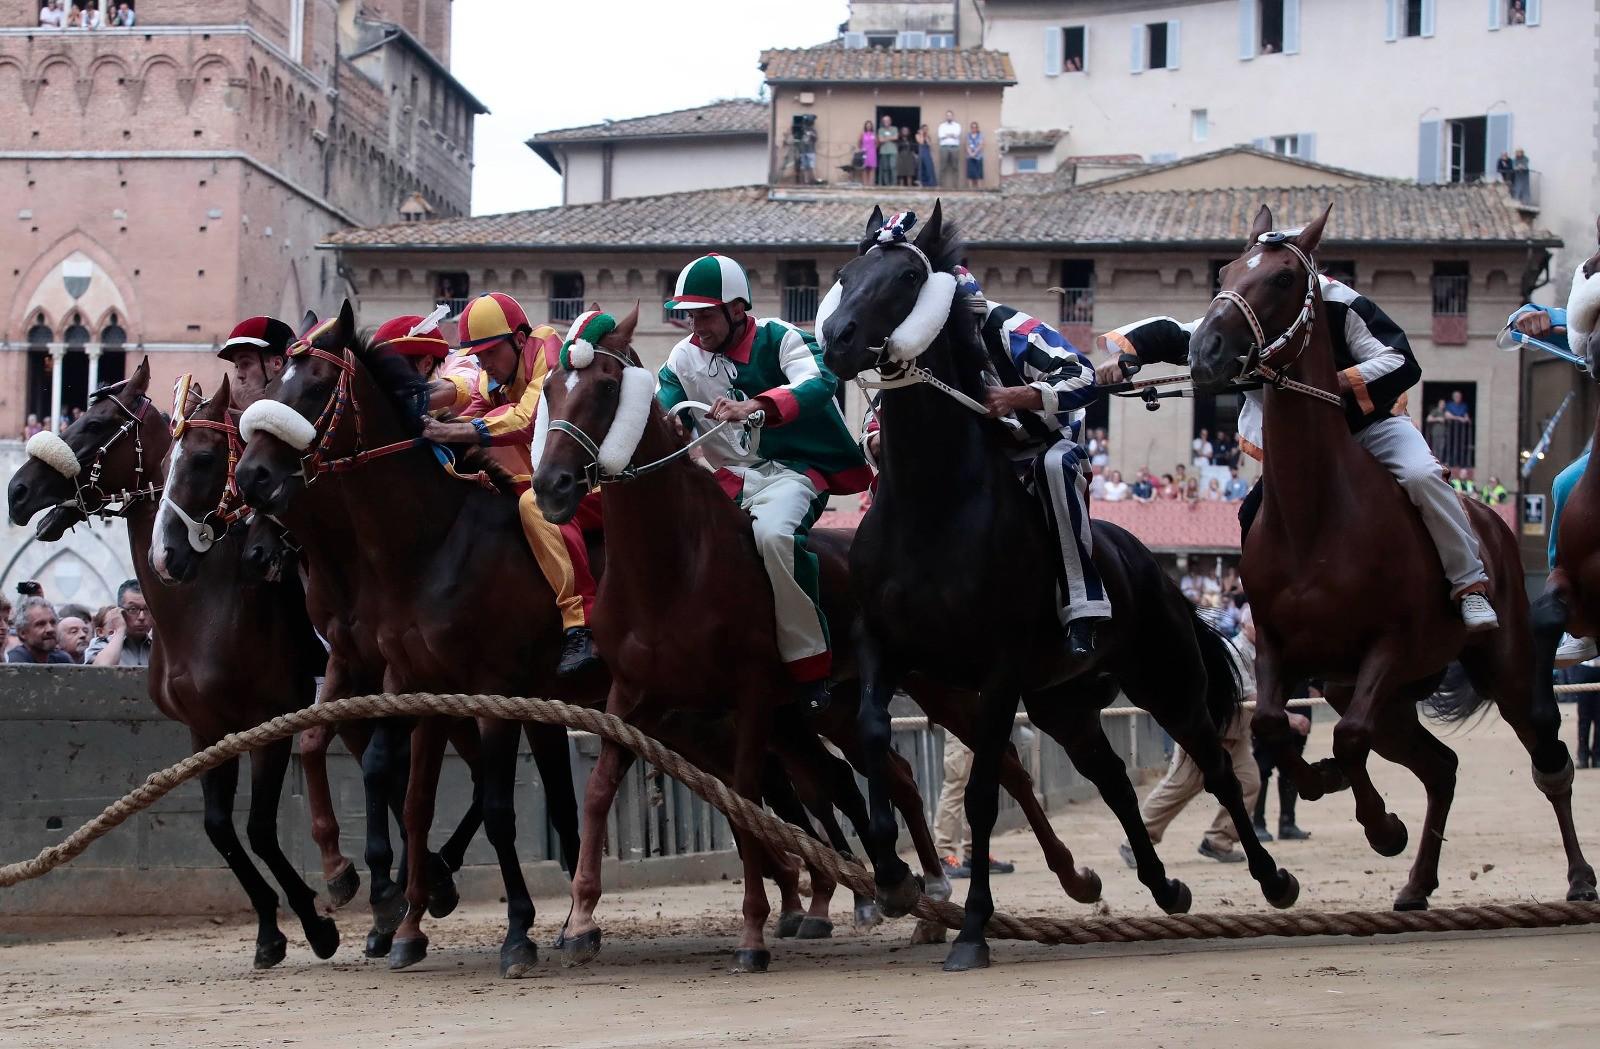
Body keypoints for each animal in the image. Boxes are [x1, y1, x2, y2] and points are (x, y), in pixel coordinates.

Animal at [6, 361, 340, 965]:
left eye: (95, 424)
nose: (17, 490)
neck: (205, 607)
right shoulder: (206, 730)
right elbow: (218, 829)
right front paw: (269, 931)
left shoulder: (272, 719)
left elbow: (259, 827)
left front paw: (315, 922)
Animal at [232, 300, 588, 972]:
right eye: (272, 387)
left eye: (315, 385)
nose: (252, 477)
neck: (430, 541)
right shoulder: (394, 670)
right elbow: (379, 773)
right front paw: (383, 901)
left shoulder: (490, 684)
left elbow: (494, 806)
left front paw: (515, 929)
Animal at [819, 200, 1292, 972]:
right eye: (846, 273)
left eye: (903, 280)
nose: (836, 337)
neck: (932, 507)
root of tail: (1148, 565)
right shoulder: (883, 650)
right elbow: (871, 738)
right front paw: (890, 876)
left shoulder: (998, 670)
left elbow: (983, 794)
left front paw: (973, 928)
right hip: (1063, 704)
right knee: (1114, 779)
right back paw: (1164, 885)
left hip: (1166, 680)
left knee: (1217, 764)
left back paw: (1272, 877)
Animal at [1190, 203, 1587, 901]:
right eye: (1226, 270)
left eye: (1284, 278)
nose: (1205, 349)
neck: (1316, 518)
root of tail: (1492, 522)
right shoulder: (1280, 645)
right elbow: (1273, 725)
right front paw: (1329, 786)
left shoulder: (1390, 642)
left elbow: (1348, 739)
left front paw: (1379, 825)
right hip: (1381, 692)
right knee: (1441, 766)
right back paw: (1417, 883)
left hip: (1504, 666)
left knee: (1547, 759)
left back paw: (1579, 876)